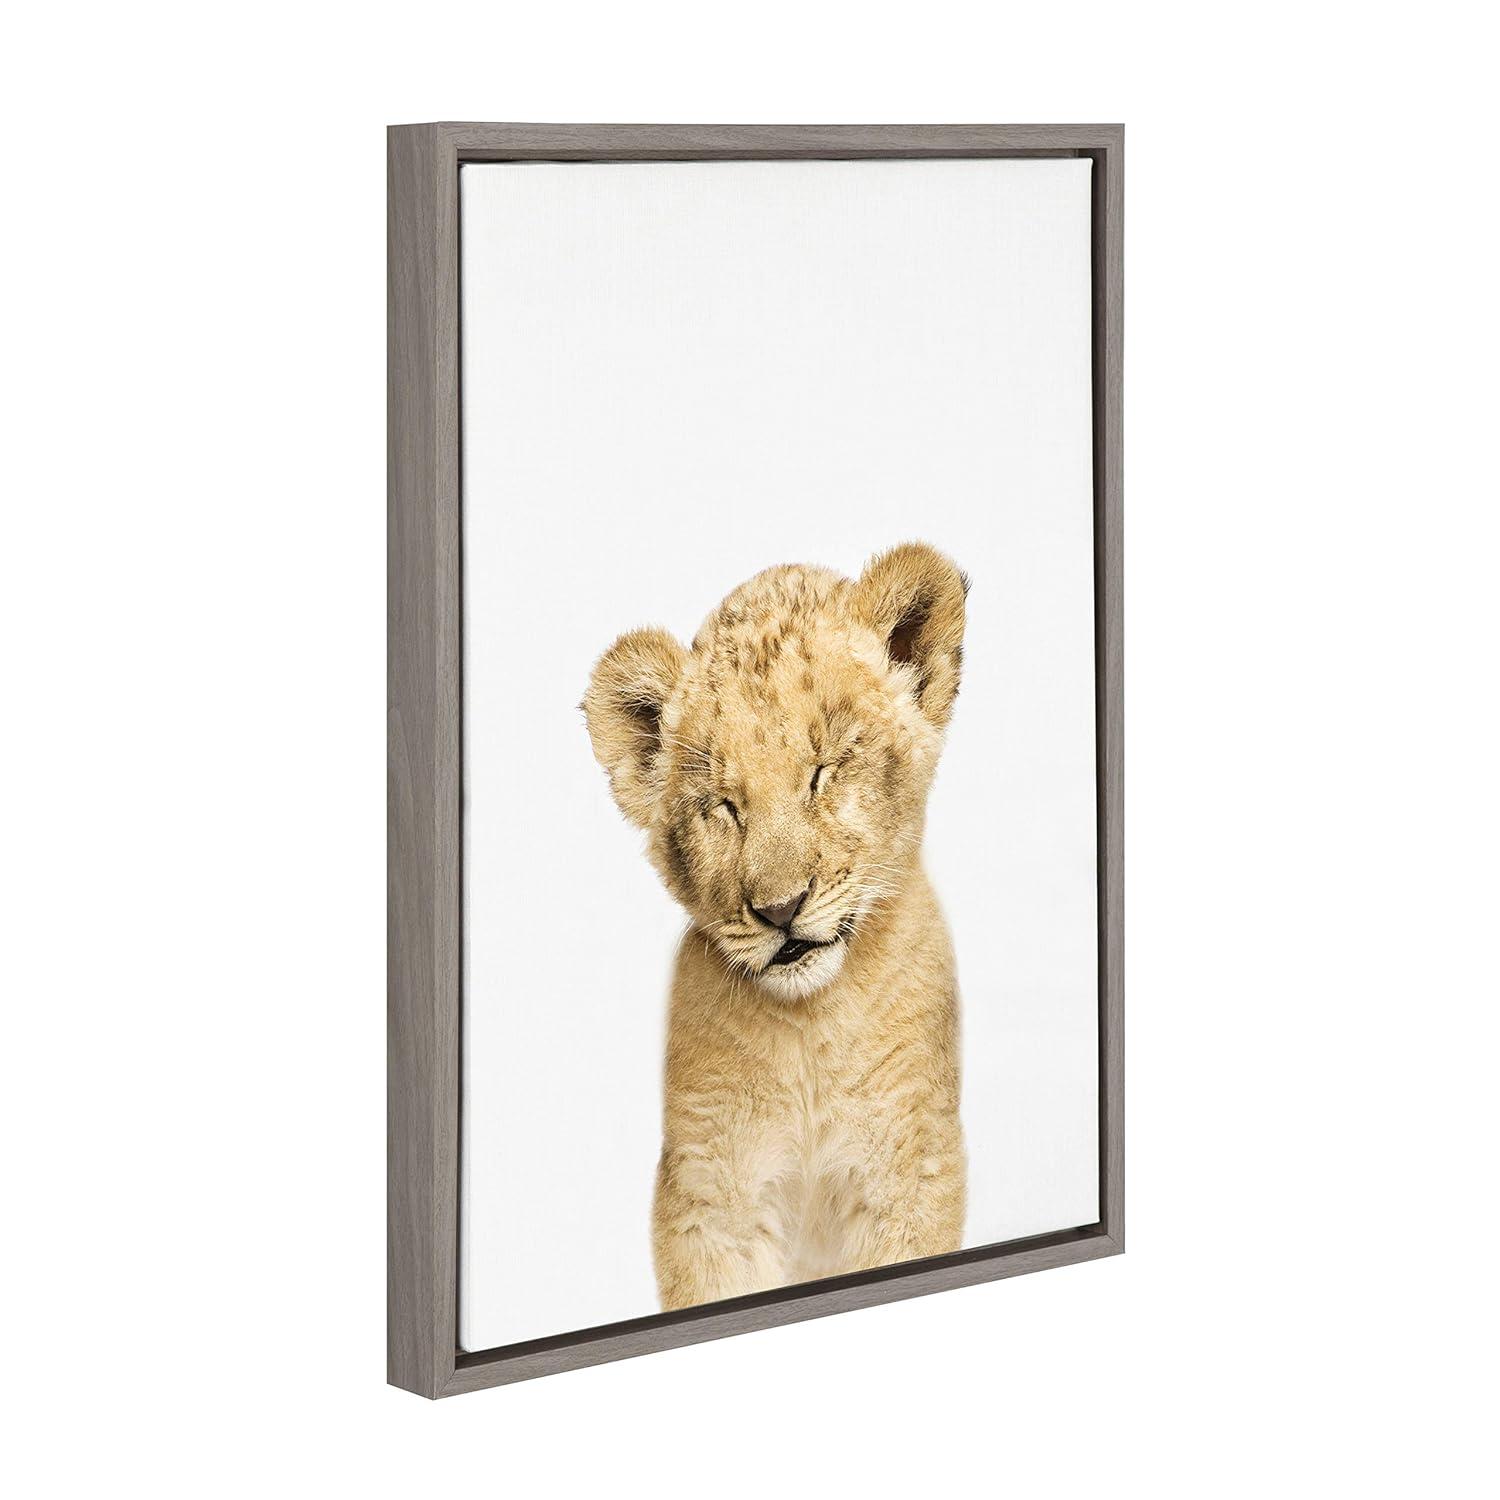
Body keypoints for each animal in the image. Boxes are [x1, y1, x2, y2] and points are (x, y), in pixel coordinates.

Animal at [584, 542, 967, 1310]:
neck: (809, 1027)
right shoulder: (708, 1197)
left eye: (823, 772)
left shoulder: (912, 1172)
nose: (780, 909)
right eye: (724, 806)